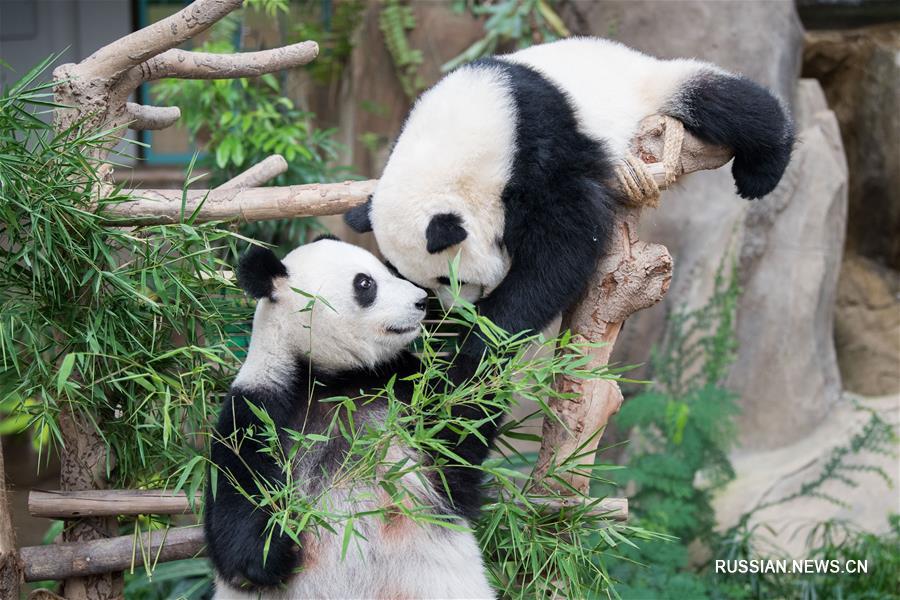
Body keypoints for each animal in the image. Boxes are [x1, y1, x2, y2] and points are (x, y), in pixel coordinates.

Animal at [204, 237, 496, 596]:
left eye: (389, 269)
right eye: (365, 283)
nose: (421, 301)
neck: (332, 379)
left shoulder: (405, 391)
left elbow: (462, 425)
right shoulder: (258, 409)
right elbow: (234, 516)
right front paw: (280, 544)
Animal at [344, 38, 796, 360]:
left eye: (447, 278)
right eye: (425, 283)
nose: (458, 309)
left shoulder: (538, 148)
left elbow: (565, 245)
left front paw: (485, 333)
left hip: (647, 86)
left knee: (729, 103)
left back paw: (762, 169)